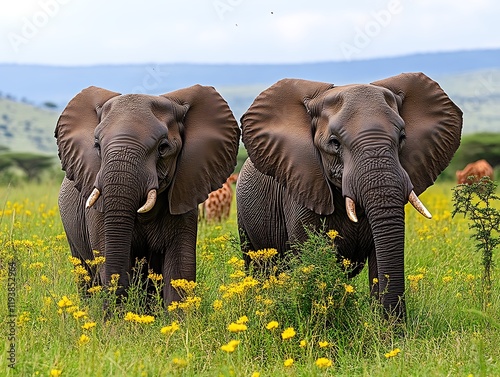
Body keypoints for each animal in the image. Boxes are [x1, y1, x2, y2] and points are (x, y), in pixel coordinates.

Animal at [236, 72, 462, 318]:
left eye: (402, 137)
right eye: (334, 142)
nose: (398, 324)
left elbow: (378, 257)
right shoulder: (301, 185)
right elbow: (311, 257)